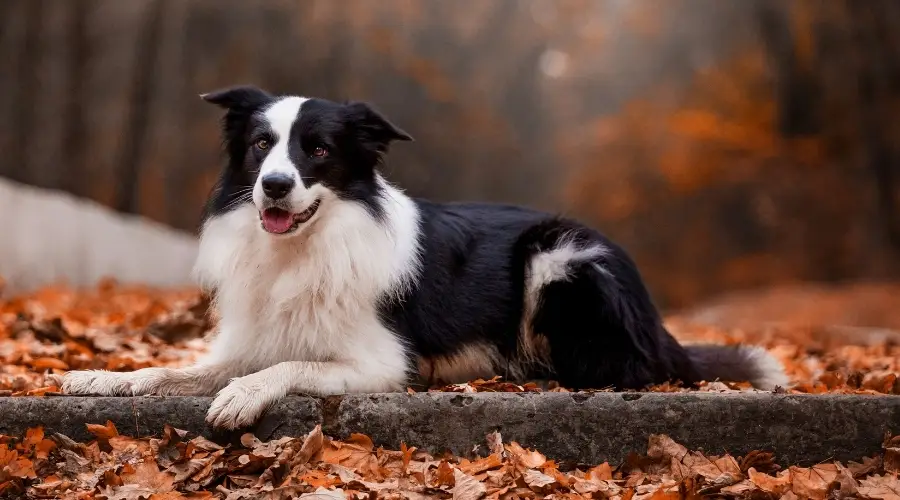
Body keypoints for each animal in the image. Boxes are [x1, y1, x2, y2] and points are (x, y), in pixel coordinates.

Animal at [59, 86, 788, 430]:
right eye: (262, 144)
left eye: (318, 150)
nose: (275, 185)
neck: (305, 246)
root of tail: (659, 323)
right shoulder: (253, 336)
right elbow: (170, 370)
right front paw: (101, 377)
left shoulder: (379, 363)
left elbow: (291, 366)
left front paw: (241, 396)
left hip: (560, 254)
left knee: (623, 368)